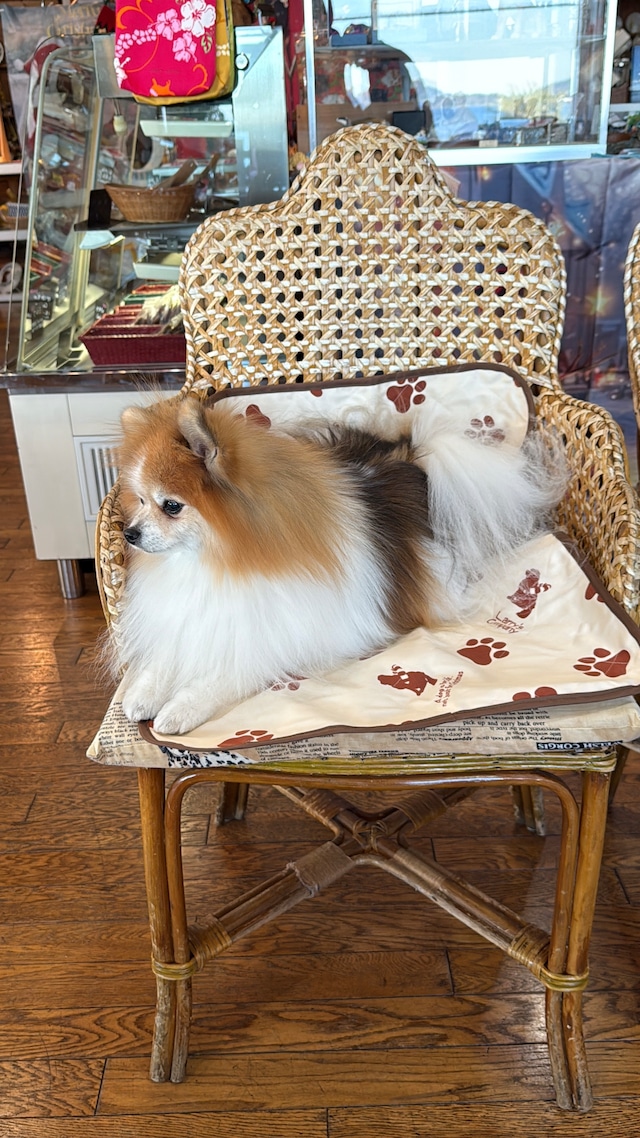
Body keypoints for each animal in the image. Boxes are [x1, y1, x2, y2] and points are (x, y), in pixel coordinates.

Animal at [112, 392, 565, 735]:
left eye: (171, 506)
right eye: (139, 500)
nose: (129, 533)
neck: (217, 562)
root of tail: (410, 461)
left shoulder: (279, 635)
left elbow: (231, 672)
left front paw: (180, 709)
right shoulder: (192, 618)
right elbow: (165, 656)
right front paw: (144, 693)